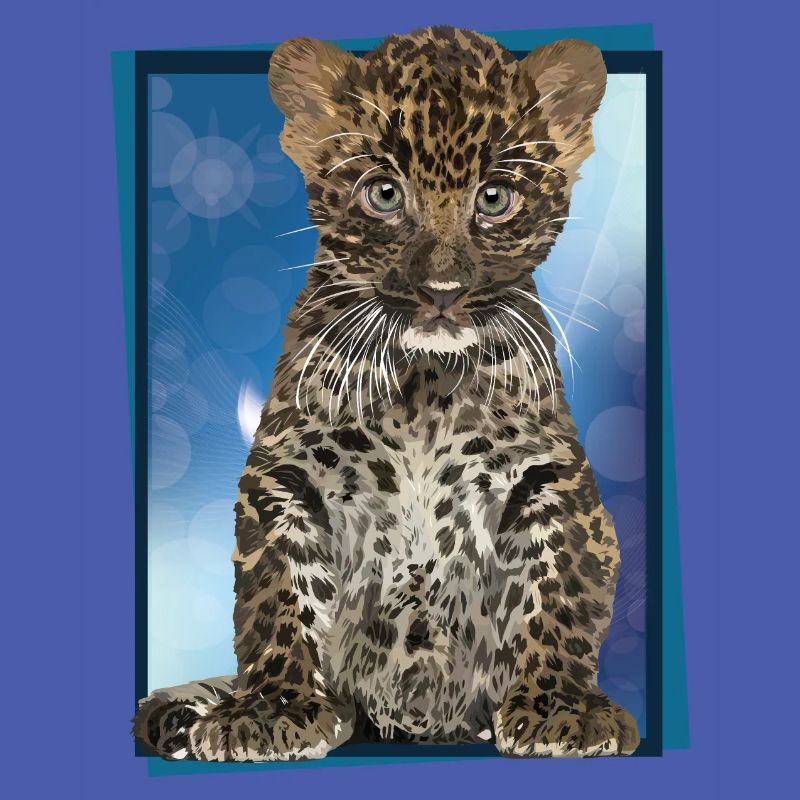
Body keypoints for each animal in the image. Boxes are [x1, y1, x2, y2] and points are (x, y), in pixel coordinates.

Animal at [134, 25, 640, 761]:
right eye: (383, 193)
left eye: (495, 198)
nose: (441, 290)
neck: (424, 385)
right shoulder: (287, 477)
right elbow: (278, 593)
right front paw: (271, 710)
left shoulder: (549, 477)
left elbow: (560, 588)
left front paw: (561, 709)